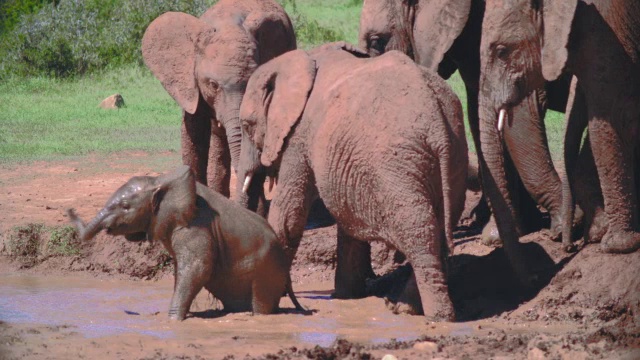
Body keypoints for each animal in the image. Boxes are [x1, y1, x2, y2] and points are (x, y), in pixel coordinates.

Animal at [66, 166, 304, 320]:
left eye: (125, 207)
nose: (70, 210)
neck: (159, 181)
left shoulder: (196, 227)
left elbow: (196, 268)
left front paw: (173, 321)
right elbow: (181, 270)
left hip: (266, 271)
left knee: (261, 302)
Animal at [238, 45, 468, 320]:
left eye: (246, 125)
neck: (298, 60)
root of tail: (437, 123)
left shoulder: (299, 135)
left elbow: (289, 215)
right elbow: (346, 218)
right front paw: (346, 296)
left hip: (399, 166)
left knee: (421, 235)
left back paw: (434, 317)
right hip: (455, 158)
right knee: (441, 230)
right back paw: (408, 309)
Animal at [480, 0, 640, 256]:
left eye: (502, 51)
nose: (569, 247)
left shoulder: (606, 29)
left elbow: (614, 117)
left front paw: (617, 245)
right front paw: (597, 233)